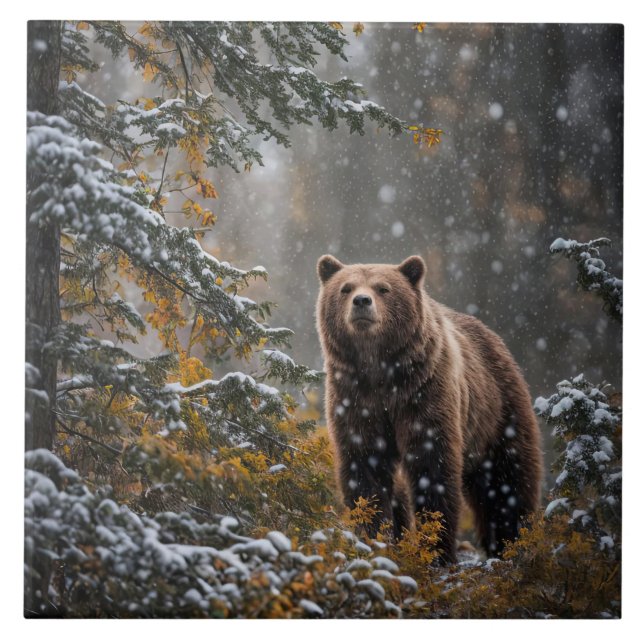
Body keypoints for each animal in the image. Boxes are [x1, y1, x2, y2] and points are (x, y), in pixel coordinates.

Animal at [316, 254, 543, 562]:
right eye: (346, 288)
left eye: (383, 288)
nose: (362, 301)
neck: (379, 371)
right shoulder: (354, 399)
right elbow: (365, 469)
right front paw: (375, 539)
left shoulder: (424, 392)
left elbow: (432, 464)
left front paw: (437, 549)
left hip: (497, 412)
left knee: (507, 481)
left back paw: (512, 543)